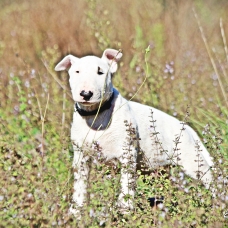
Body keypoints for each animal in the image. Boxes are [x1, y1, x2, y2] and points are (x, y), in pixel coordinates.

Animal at [55, 48, 214, 217]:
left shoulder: (128, 152)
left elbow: (127, 180)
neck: (95, 116)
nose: (86, 94)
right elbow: (80, 184)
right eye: (77, 71)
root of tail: (188, 129)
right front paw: (75, 212)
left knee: (213, 182)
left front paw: (124, 208)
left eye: (100, 72)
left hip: (193, 163)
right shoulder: (81, 156)